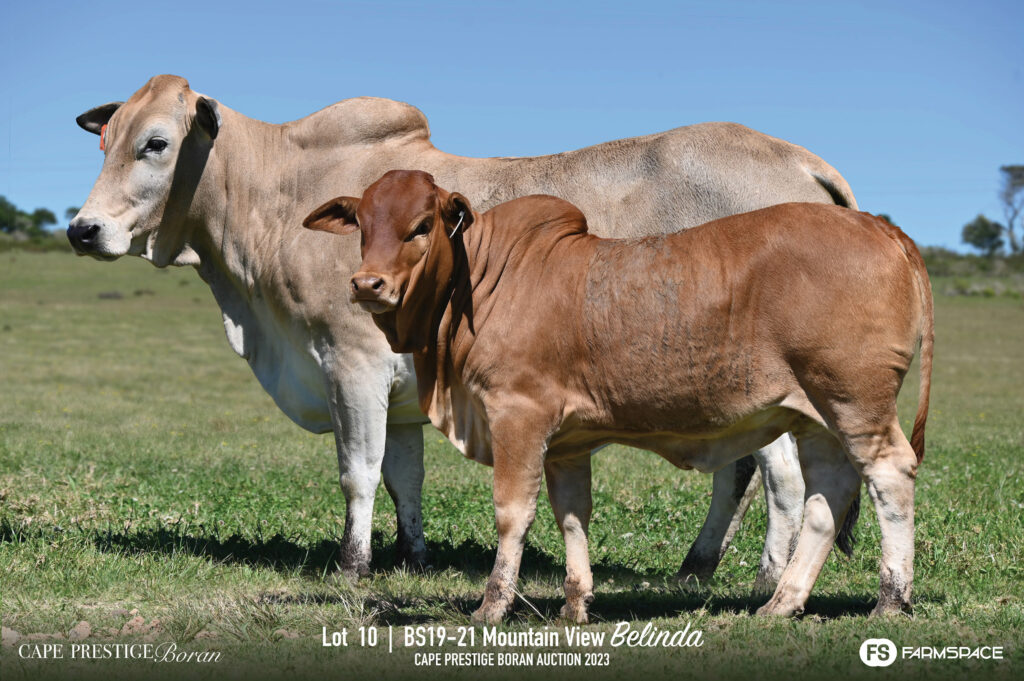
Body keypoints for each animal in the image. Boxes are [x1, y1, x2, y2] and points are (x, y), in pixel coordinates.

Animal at [69, 74, 858, 585]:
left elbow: (357, 471)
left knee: (779, 477)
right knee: (742, 472)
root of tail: (793, 157)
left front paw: (351, 567)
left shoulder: (350, 362)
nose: (83, 229)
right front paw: (411, 558)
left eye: (157, 143)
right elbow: (403, 476)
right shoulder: (396, 386)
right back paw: (698, 569)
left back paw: (764, 582)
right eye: (106, 140)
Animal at [308, 169, 933, 624]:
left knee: (890, 475)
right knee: (828, 497)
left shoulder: (518, 416)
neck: (480, 283)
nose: (367, 284)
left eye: (420, 225)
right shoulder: (565, 443)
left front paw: (492, 606)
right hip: (816, 416)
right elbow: (572, 515)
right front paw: (576, 603)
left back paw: (891, 598)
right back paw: (783, 602)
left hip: (854, 400)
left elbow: (512, 514)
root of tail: (880, 227)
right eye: (362, 224)